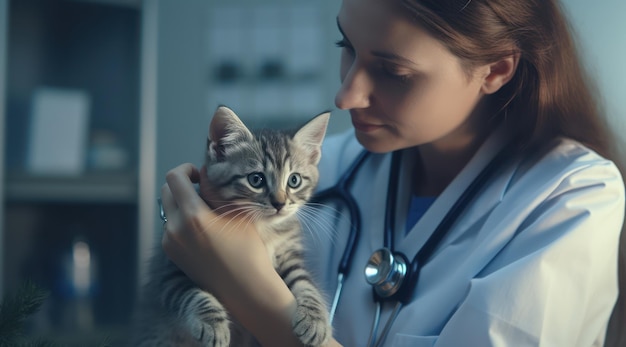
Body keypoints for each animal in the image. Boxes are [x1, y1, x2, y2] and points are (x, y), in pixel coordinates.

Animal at [133, 106, 332, 347]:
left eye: (294, 181)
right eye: (256, 179)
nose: (279, 203)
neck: (263, 229)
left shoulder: (289, 255)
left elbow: (305, 282)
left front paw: (315, 318)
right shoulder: (170, 269)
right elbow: (191, 293)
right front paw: (212, 323)